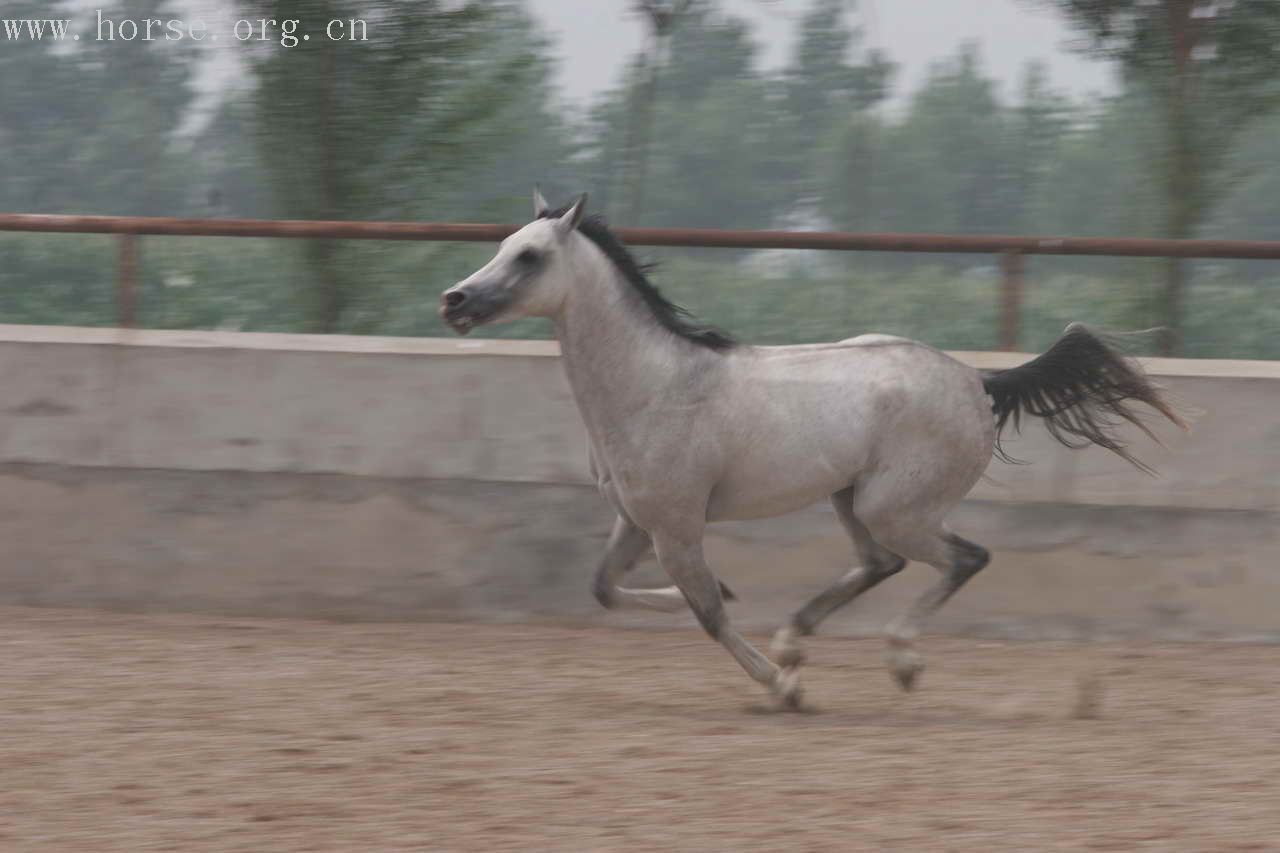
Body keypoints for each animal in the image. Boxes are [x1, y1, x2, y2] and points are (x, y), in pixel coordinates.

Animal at [445, 192, 1182, 701]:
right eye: (504, 243)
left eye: (530, 256)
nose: (454, 300)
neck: (655, 384)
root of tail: (978, 381)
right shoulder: (637, 519)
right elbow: (607, 590)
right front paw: (762, 638)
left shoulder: (678, 526)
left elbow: (708, 611)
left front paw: (783, 687)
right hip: (849, 498)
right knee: (881, 563)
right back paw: (796, 639)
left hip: (896, 506)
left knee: (964, 558)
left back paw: (899, 660)